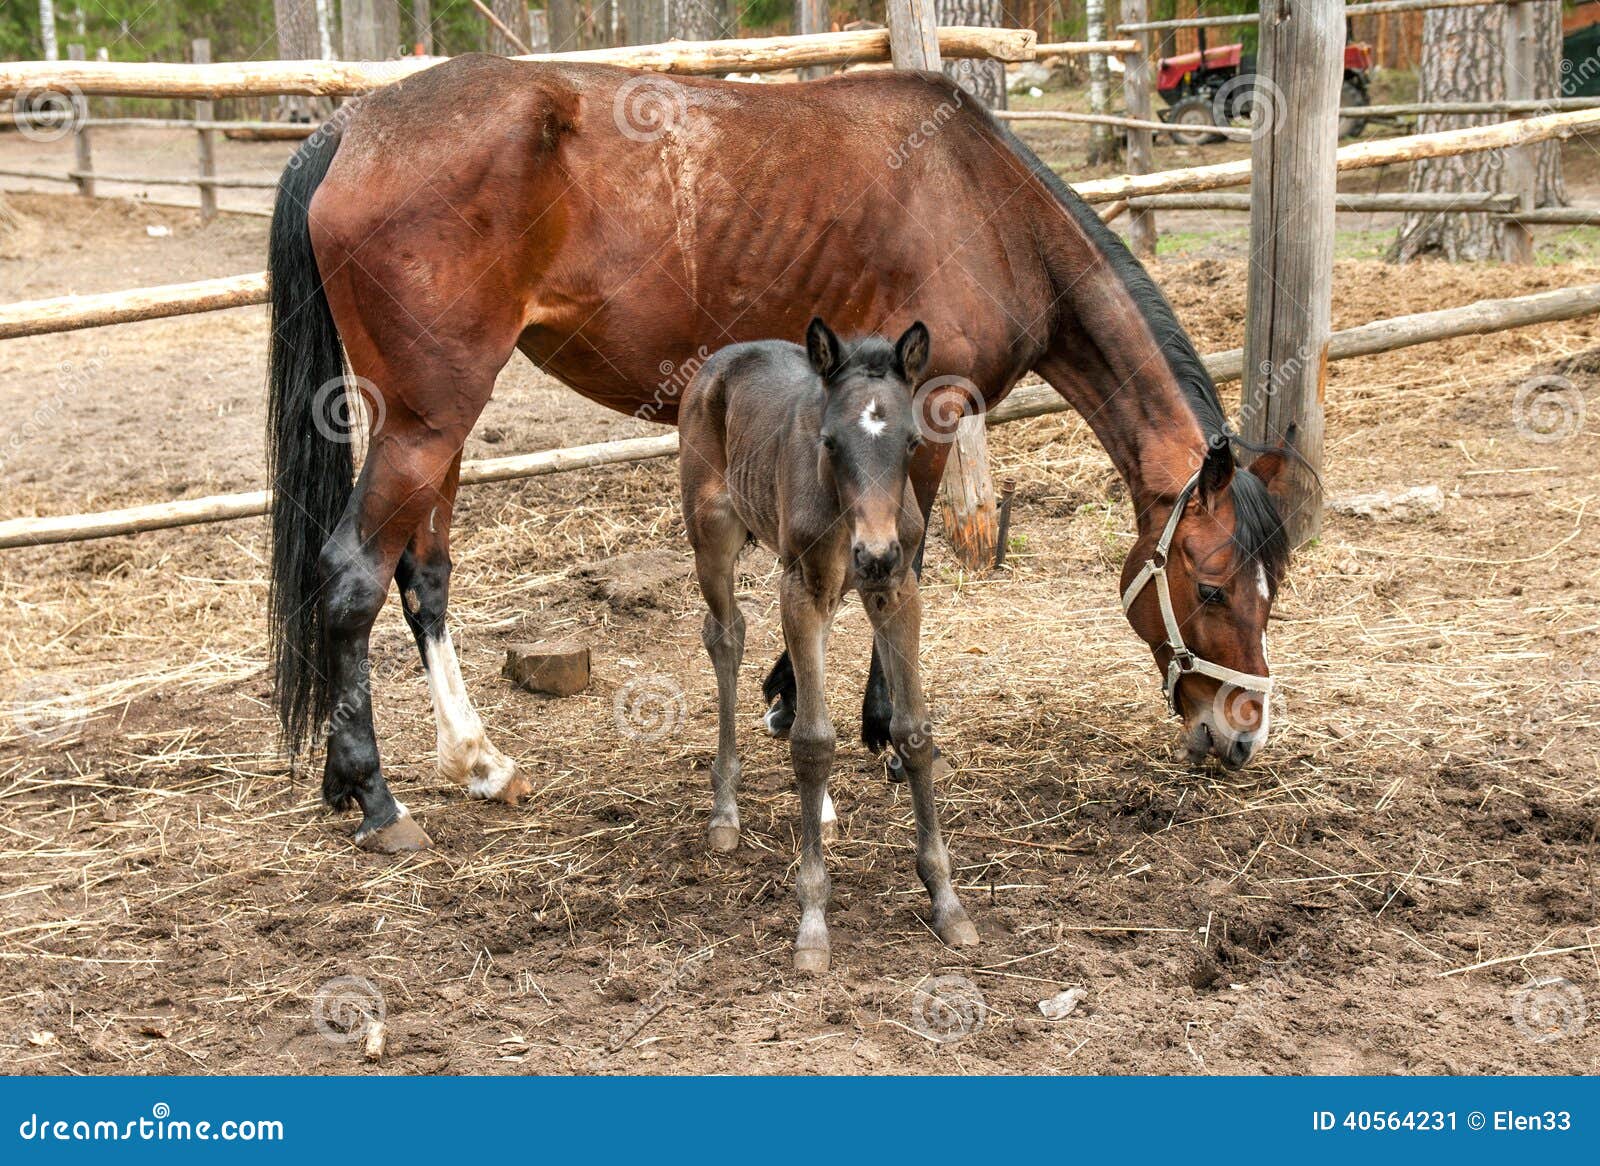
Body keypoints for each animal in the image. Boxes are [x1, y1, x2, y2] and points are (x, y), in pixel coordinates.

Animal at [675, 318, 972, 972]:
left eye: (913, 442)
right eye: (830, 442)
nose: (876, 554)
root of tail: (721, 358)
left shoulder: (896, 589)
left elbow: (913, 731)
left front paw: (946, 901)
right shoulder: (801, 587)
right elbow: (812, 743)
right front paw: (813, 921)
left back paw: (824, 811)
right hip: (712, 534)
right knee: (725, 634)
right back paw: (724, 811)